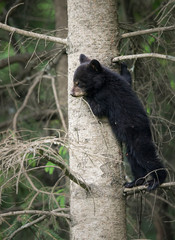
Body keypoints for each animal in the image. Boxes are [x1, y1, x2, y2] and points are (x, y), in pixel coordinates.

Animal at [71, 54, 167, 189]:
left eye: (78, 82)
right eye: (74, 81)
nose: (71, 93)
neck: (104, 81)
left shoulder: (105, 95)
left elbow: (98, 109)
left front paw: (87, 96)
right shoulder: (121, 82)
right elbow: (127, 80)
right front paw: (124, 67)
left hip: (138, 137)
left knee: (146, 156)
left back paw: (157, 180)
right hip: (130, 147)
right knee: (133, 161)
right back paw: (135, 182)